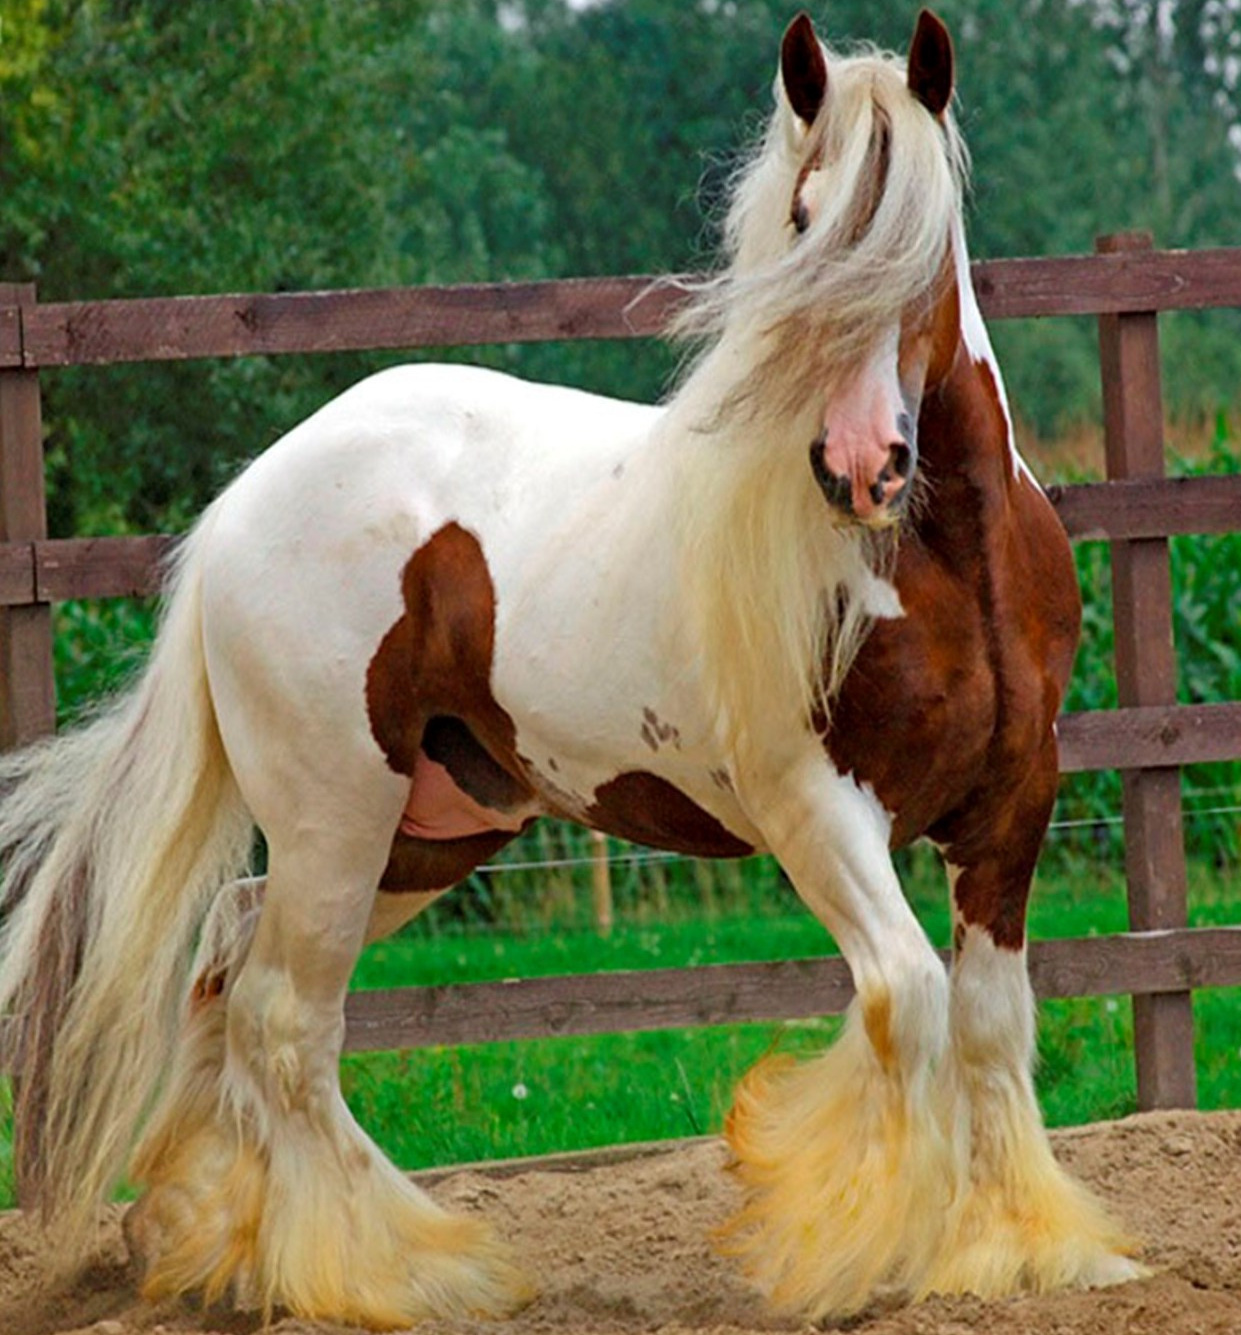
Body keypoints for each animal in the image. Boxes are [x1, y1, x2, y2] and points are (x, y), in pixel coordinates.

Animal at [0, 7, 1142, 1324]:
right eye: (803, 218)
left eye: (920, 229)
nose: (858, 466)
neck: (950, 568)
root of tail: (245, 502)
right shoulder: (813, 807)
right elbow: (907, 1000)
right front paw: (859, 1257)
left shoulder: (1013, 803)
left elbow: (994, 1020)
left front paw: (1025, 1252)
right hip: (339, 815)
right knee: (287, 1020)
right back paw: (403, 1270)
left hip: (434, 826)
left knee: (231, 964)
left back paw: (220, 1249)